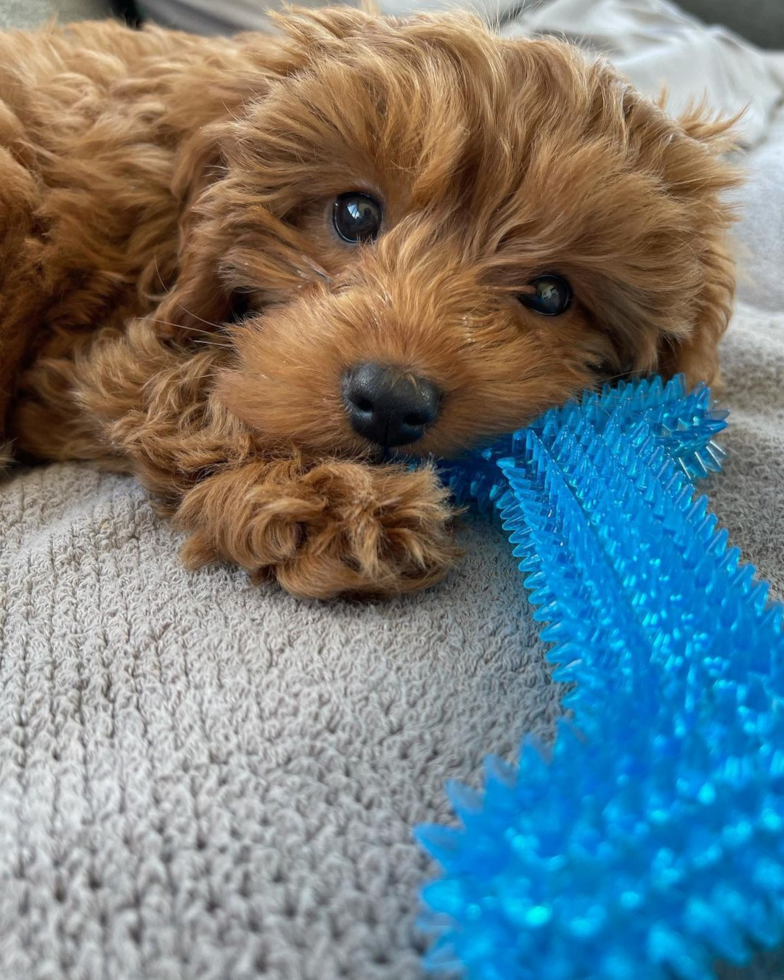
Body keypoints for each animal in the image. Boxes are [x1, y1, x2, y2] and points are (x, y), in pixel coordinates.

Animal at [0, 7, 740, 596]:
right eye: (354, 213)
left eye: (553, 294)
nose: (389, 400)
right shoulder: (103, 354)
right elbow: (185, 392)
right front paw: (338, 506)